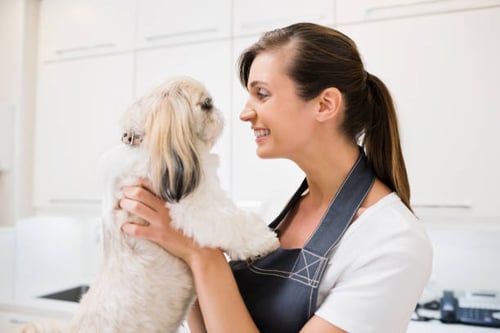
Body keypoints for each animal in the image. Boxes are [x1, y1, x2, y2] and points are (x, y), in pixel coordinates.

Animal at [21, 76, 280, 330]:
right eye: (206, 104)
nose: (219, 111)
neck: (145, 141)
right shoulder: (196, 208)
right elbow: (233, 223)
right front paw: (264, 241)